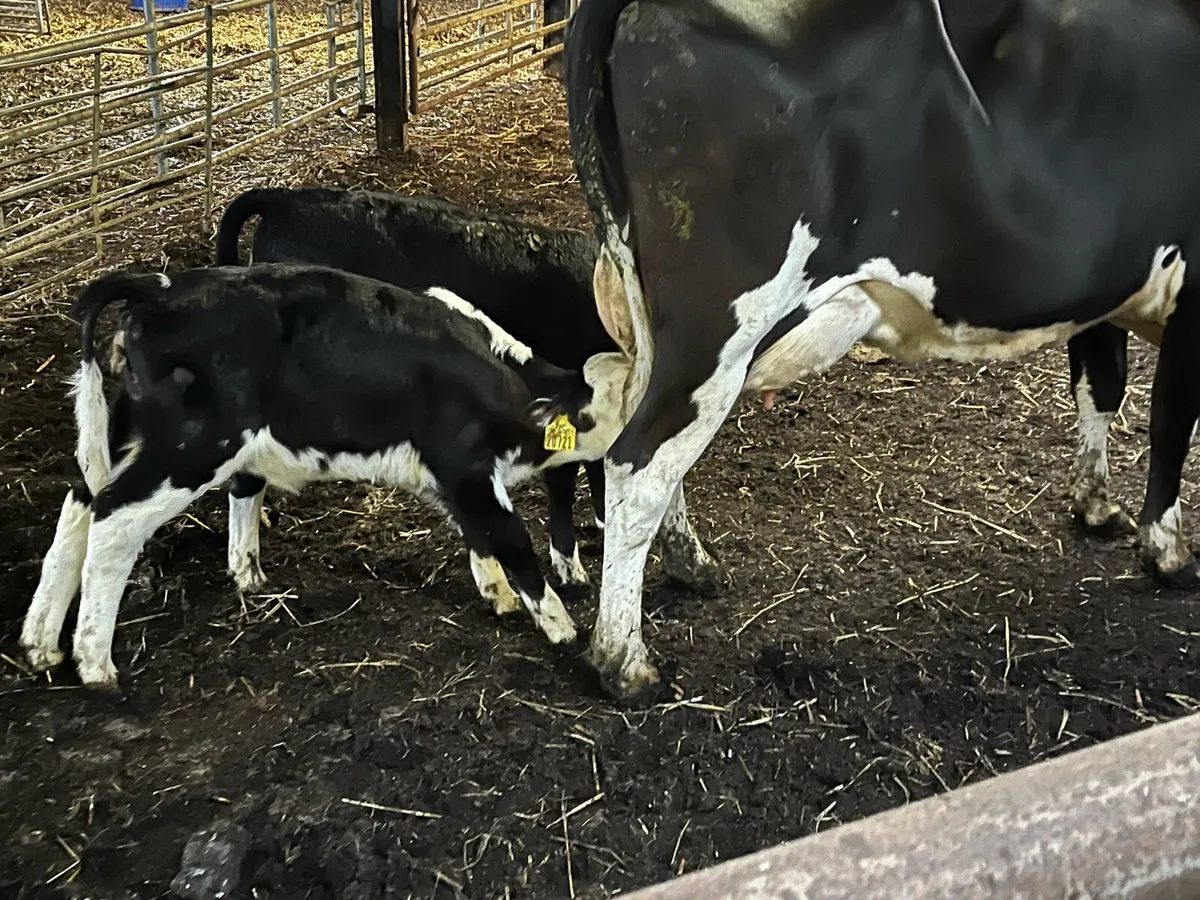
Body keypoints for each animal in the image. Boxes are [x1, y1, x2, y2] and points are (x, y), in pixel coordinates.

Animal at [19, 264, 630, 691]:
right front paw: (559, 625)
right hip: (189, 450)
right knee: (113, 522)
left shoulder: (458, 479)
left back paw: (42, 641)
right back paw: (95, 663)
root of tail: (159, 288)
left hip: (126, 434)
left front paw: (497, 594)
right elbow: (511, 540)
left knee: (79, 502)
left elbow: (478, 535)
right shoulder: (466, 466)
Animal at [564, 0, 1200, 696]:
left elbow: (1101, 386)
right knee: (639, 462)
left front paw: (1096, 505)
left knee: (639, 421)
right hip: (722, 321)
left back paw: (690, 564)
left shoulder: (1106, 285)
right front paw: (1168, 552)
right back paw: (623, 660)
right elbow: (1171, 421)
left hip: (658, 314)